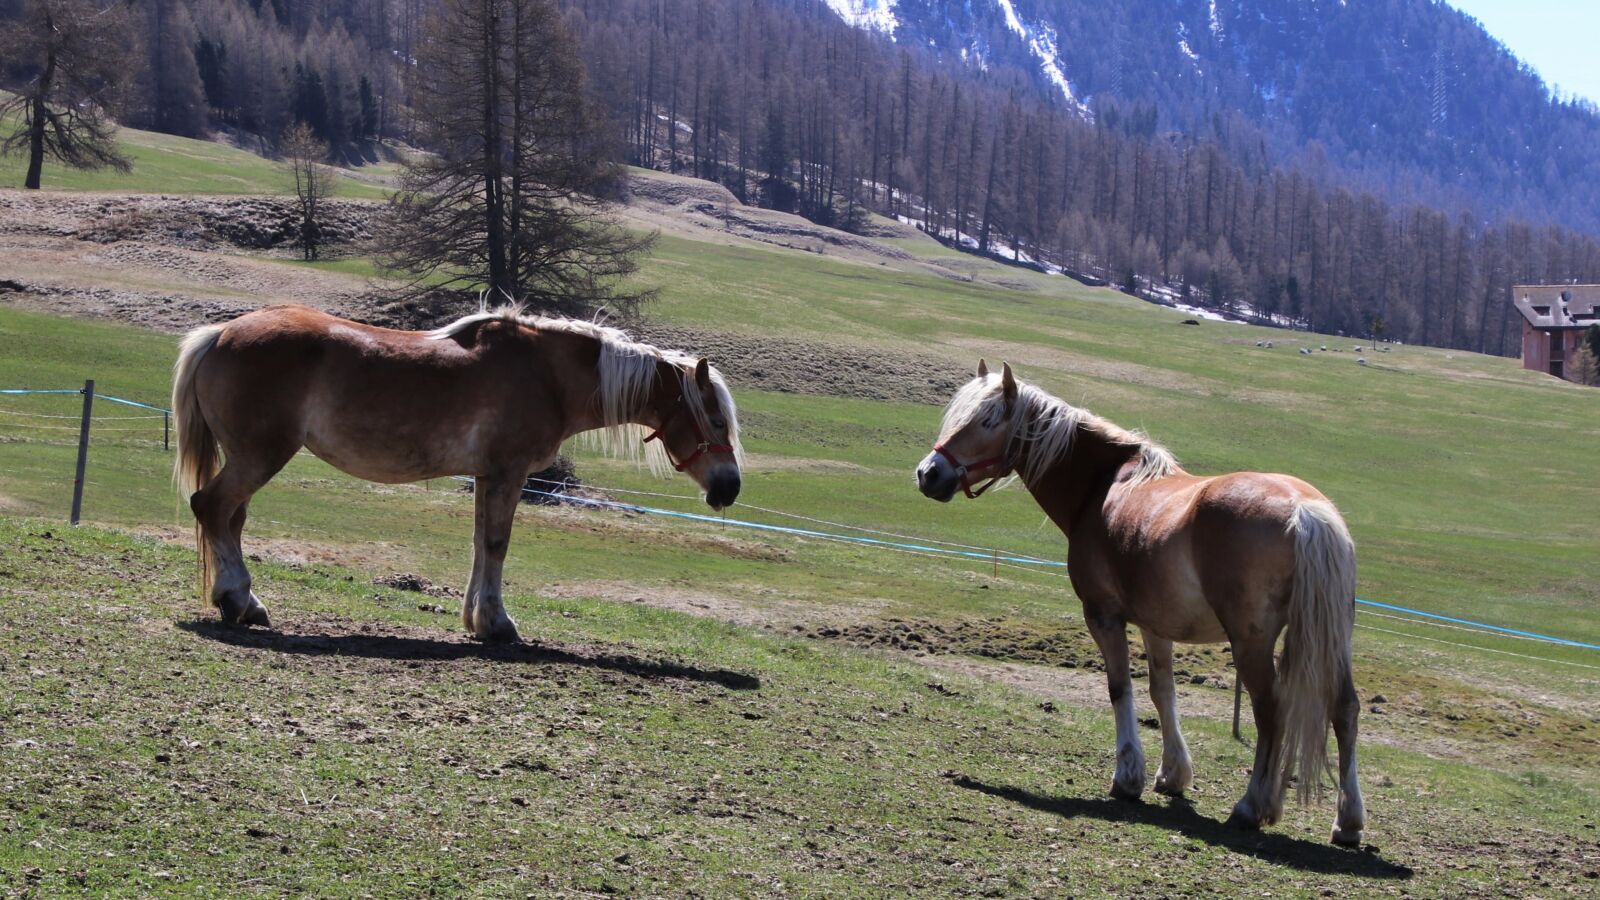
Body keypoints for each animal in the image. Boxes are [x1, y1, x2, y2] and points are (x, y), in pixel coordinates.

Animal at [172, 304, 743, 643]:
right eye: (716, 420)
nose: (730, 487)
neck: (546, 374)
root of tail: (221, 332)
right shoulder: (509, 473)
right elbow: (496, 544)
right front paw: (497, 623)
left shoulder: (488, 477)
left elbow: (479, 542)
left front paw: (476, 618)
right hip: (259, 456)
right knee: (212, 508)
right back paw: (239, 600)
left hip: (251, 458)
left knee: (230, 520)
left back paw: (241, 602)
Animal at [915, 361, 1364, 847]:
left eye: (987, 421)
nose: (928, 473)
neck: (1100, 486)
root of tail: (1305, 511)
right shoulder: (1156, 625)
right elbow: (1162, 691)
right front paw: (1173, 775)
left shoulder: (1104, 616)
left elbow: (1120, 688)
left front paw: (1128, 776)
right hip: (1333, 641)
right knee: (1344, 710)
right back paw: (1348, 821)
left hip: (1252, 644)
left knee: (1270, 711)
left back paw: (1251, 806)